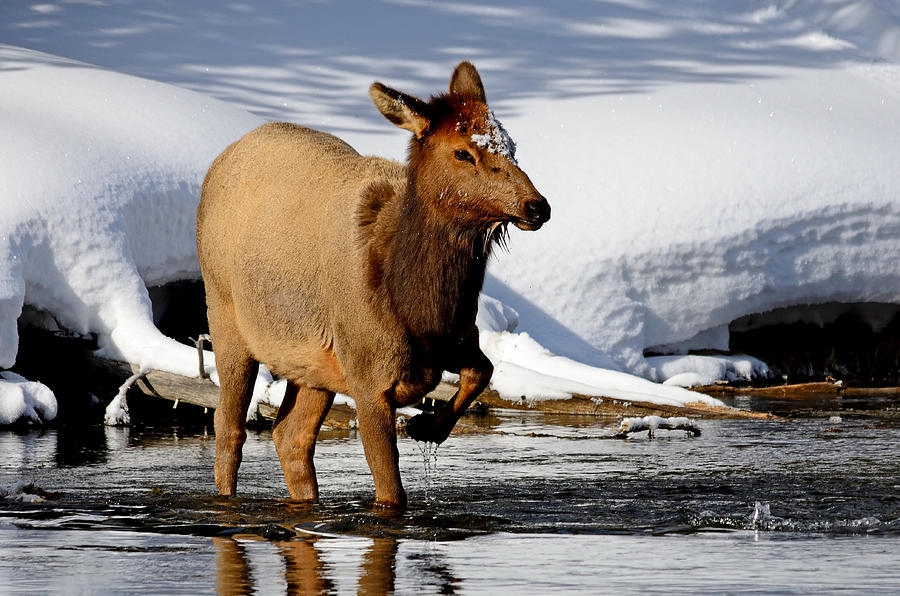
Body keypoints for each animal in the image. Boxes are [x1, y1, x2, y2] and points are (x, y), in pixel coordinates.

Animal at [196, 62, 550, 507]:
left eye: (511, 145)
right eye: (462, 152)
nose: (537, 206)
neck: (420, 311)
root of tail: (221, 160)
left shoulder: (460, 337)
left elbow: (483, 371)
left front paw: (427, 426)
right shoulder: (368, 377)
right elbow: (391, 493)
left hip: (312, 363)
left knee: (290, 436)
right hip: (226, 317)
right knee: (229, 429)